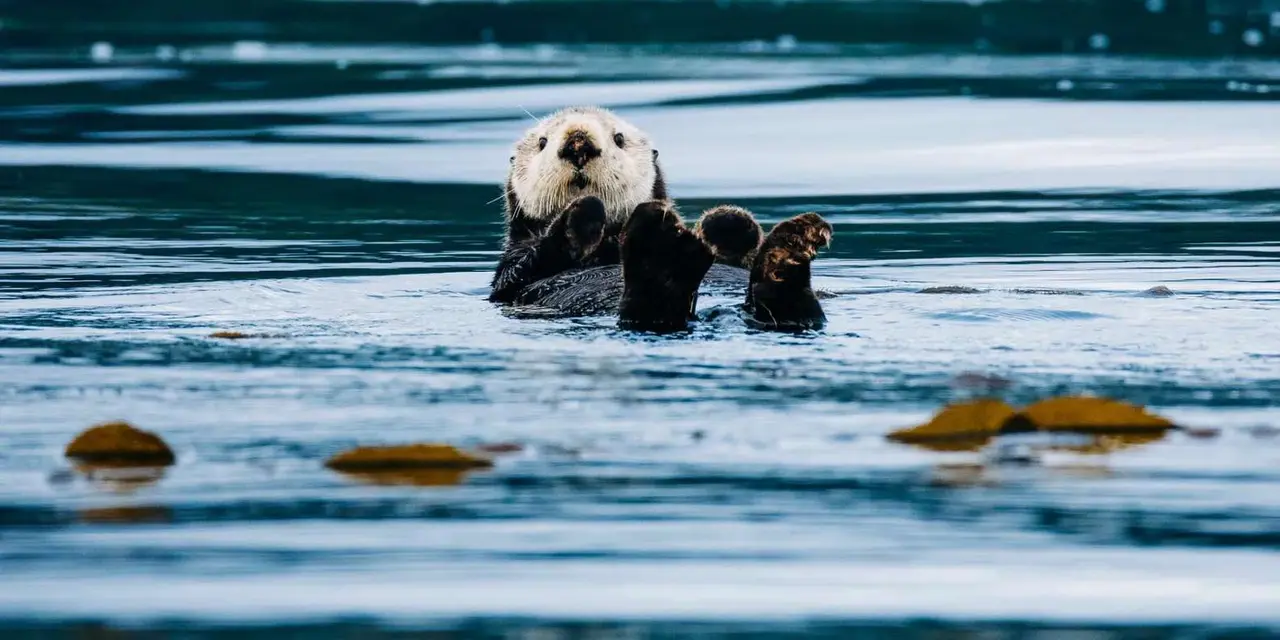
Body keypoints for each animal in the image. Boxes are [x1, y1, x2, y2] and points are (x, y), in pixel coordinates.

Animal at [488, 106, 833, 332]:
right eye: (542, 142)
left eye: (619, 138)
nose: (578, 143)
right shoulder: (512, 269)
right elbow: (525, 265)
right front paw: (584, 212)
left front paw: (728, 221)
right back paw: (662, 251)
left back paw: (787, 250)